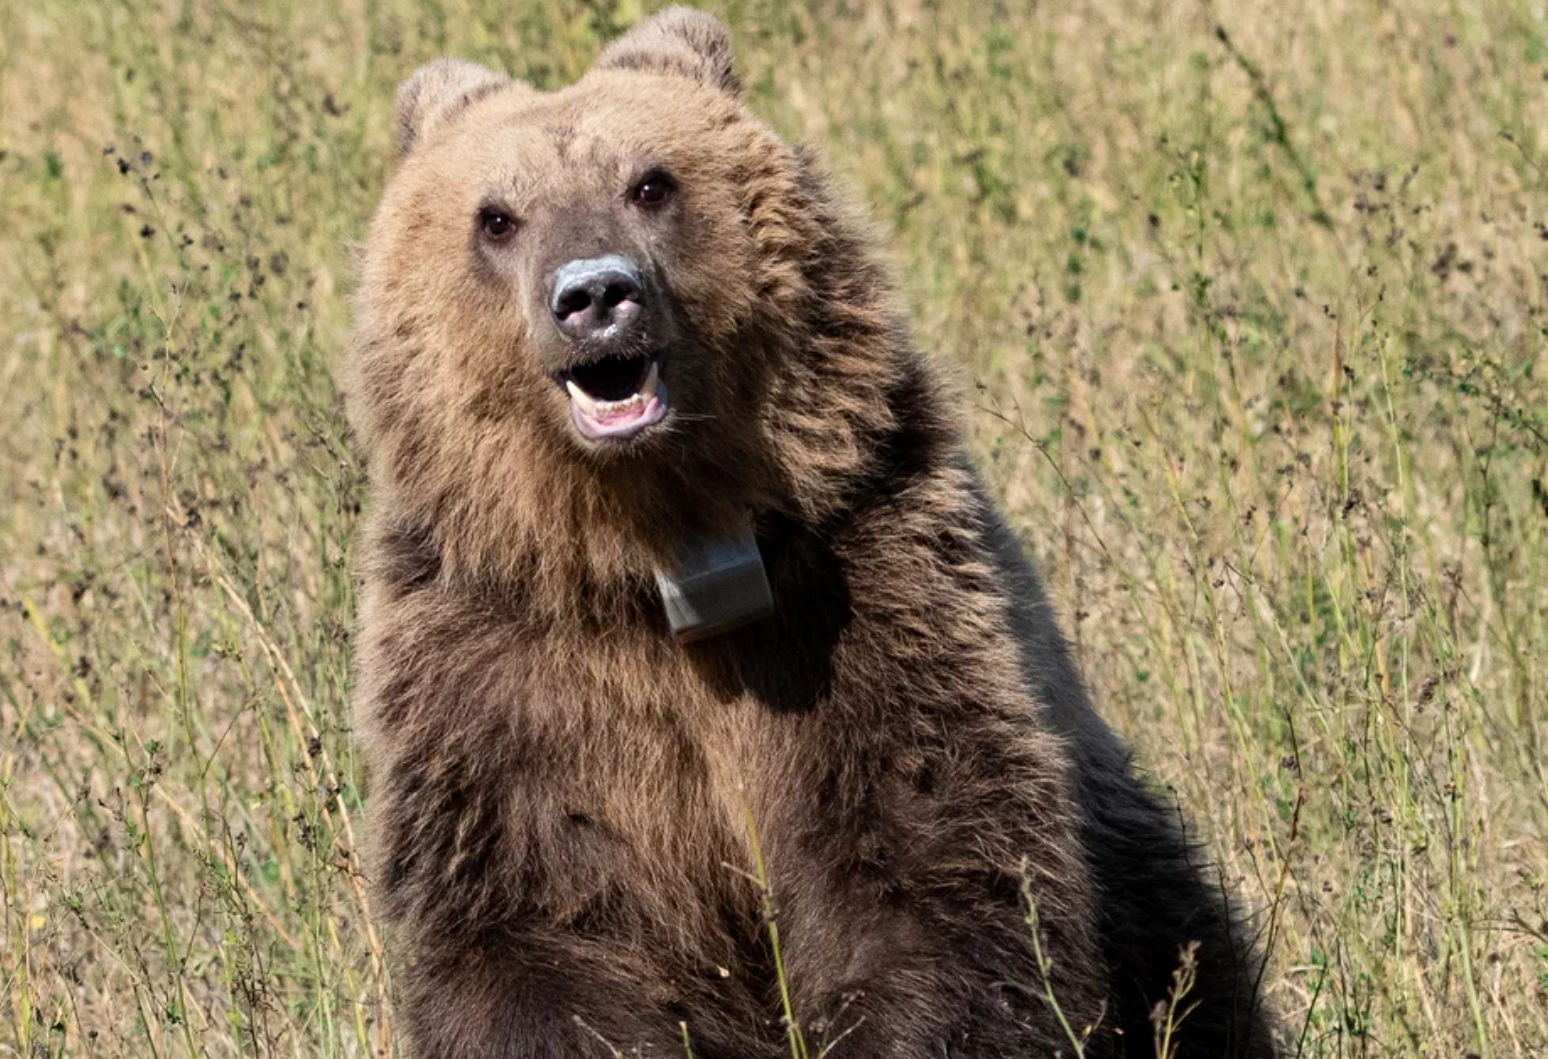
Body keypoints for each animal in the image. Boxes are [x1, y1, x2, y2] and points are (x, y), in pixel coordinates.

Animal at [354, 10, 1281, 1059]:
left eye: (651, 183)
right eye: (497, 217)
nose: (593, 295)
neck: (663, 559)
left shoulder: (868, 596)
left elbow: (924, 867)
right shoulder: (501, 684)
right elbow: (540, 930)